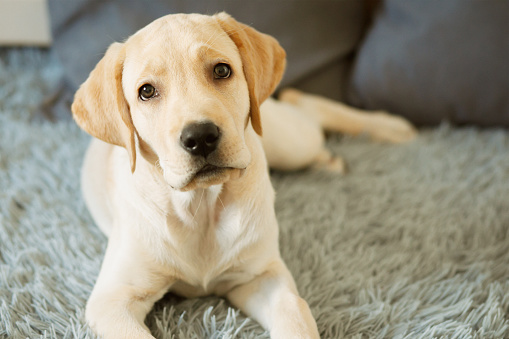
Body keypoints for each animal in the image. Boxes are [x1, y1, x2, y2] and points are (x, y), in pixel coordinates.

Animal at [71, 11, 414, 338]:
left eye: (222, 71)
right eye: (146, 91)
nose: (200, 137)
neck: (201, 206)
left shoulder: (261, 275)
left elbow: (294, 313)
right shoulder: (112, 302)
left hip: (289, 142)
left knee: (306, 106)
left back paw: (391, 127)